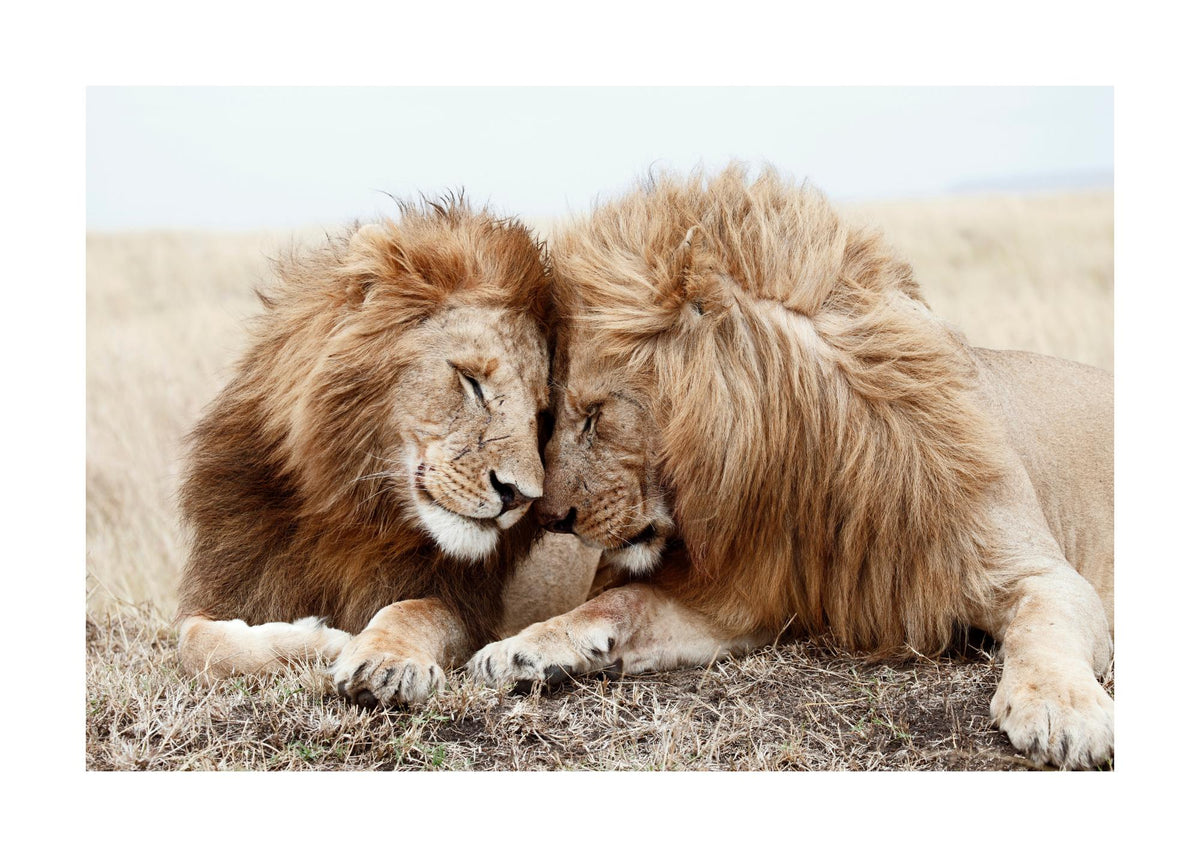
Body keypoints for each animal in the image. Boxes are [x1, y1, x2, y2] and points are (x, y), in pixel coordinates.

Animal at [176, 196, 597, 707]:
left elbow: (411, 611)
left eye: (541, 415)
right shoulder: (230, 584)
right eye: (471, 381)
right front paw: (320, 640)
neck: (352, 510)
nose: (520, 495)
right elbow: (197, 644)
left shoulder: (466, 606)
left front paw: (383, 661)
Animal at [467, 167, 1114, 769]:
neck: (809, 457)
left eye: (595, 415)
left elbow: (1045, 627)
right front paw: (522, 648)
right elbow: (621, 602)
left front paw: (1061, 712)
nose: (551, 518)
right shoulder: (745, 596)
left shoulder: (1038, 572)